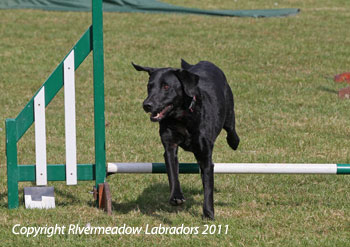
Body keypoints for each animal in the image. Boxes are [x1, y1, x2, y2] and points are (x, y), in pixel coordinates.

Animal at [133, 59, 239, 220]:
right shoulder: (170, 146)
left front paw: (208, 213)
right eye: (149, 86)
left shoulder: (205, 155)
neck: (181, 118)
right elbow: (173, 173)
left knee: (231, 130)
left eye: (166, 86)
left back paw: (234, 142)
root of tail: (205, 62)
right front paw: (176, 197)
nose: (147, 105)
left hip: (228, 112)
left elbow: (208, 185)